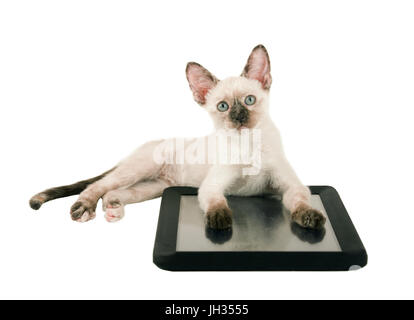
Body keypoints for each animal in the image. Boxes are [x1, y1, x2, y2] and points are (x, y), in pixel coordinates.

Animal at [29, 45, 326, 230]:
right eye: (223, 107)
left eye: (249, 101)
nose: (239, 118)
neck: (248, 144)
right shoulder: (213, 188)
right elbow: (217, 204)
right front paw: (219, 223)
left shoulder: (288, 186)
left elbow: (301, 201)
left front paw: (311, 219)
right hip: (138, 171)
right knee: (98, 186)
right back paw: (83, 209)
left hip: (153, 187)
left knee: (113, 193)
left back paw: (113, 210)